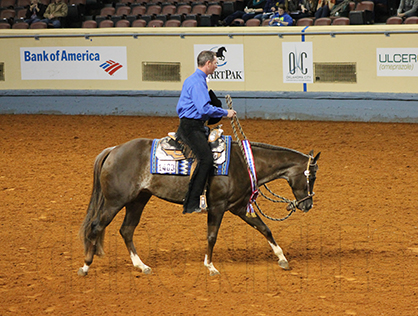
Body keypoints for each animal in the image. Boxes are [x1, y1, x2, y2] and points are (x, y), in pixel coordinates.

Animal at [78, 138, 320, 276]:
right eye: (312, 176)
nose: (307, 204)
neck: (243, 163)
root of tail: (114, 150)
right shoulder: (218, 207)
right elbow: (212, 236)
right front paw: (210, 266)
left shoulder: (240, 207)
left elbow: (264, 228)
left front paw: (282, 258)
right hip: (115, 201)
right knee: (96, 227)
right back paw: (86, 266)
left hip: (138, 200)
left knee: (126, 230)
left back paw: (142, 266)